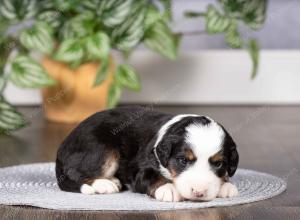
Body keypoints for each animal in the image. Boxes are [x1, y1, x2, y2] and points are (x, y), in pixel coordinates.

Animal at [55, 106, 239, 201]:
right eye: (183, 161)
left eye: (218, 163)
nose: (199, 192)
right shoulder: (140, 169)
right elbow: (152, 177)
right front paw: (168, 189)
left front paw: (226, 186)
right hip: (103, 150)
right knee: (75, 173)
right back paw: (104, 184)